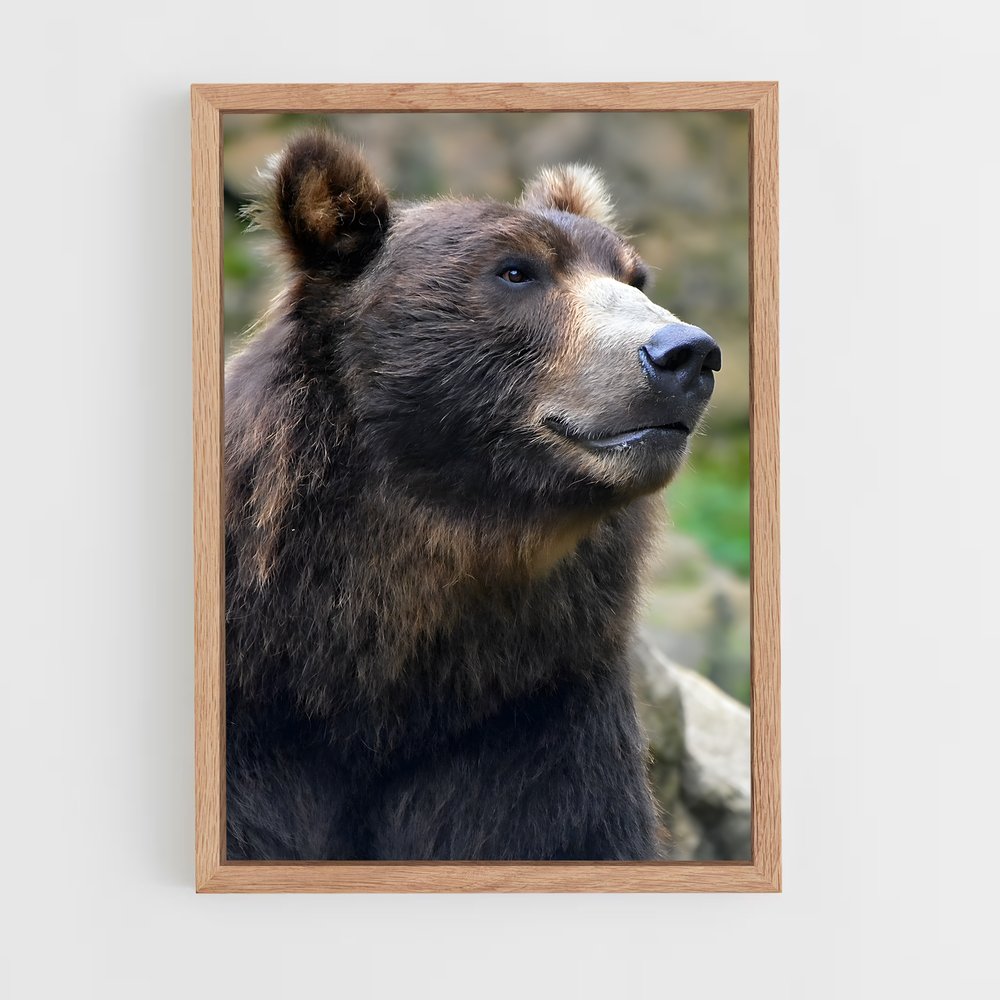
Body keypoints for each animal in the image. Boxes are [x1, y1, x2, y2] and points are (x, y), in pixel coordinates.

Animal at [224, 130, 721, 861]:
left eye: (635, 277)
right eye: (516, 271)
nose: (685, 353)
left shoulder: (529, 715)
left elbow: (561, 828)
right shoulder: (260, 723)